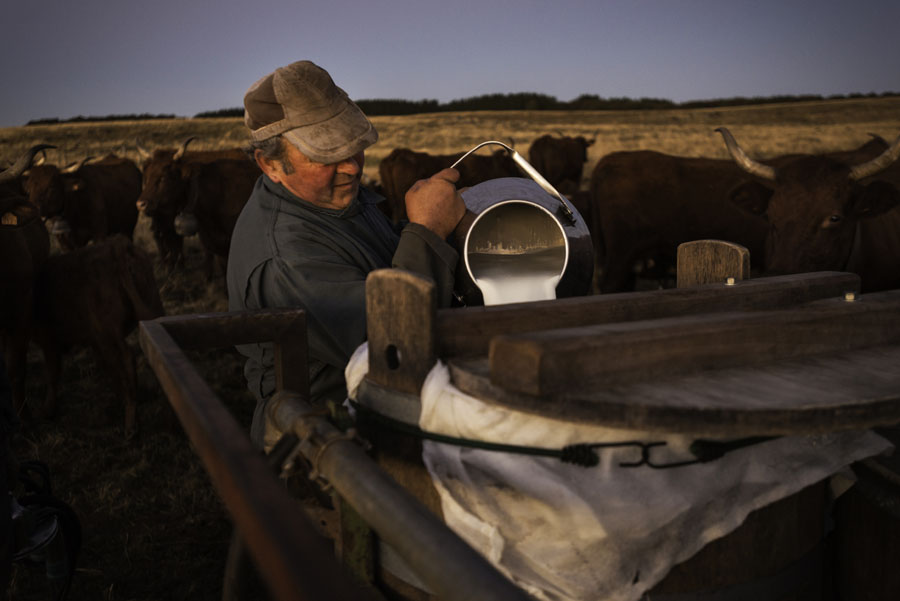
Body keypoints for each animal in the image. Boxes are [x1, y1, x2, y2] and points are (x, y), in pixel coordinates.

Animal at [31, 232, 166, 434]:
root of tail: (118, 247)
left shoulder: (50, 341)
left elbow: (53, 374)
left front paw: (47, 410)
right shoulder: (94, 340)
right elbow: (107, 367)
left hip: (109, 331)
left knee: (127, 358)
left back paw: (130, 423)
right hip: (151, 310)